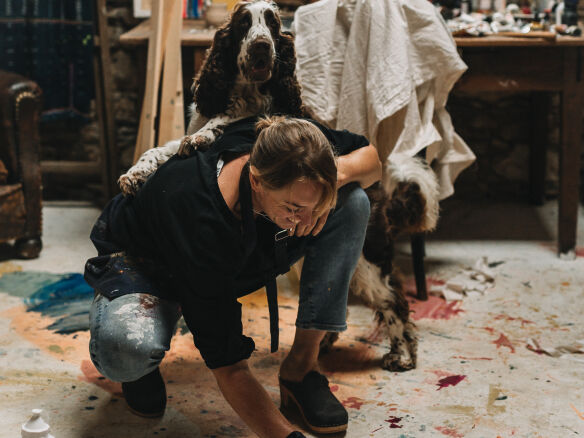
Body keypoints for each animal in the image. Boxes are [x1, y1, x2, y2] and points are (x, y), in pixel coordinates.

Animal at [120, 0, 438, 372]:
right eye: (245, 23)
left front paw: (205, 134)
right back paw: (322, 344)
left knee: (392, 298)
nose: (261, 46)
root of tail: (383, 187)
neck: (245, 96)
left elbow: (213, 129)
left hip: (368, 258)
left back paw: (401, 354)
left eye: (273, 25)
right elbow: (160, 149)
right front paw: (135, 173)